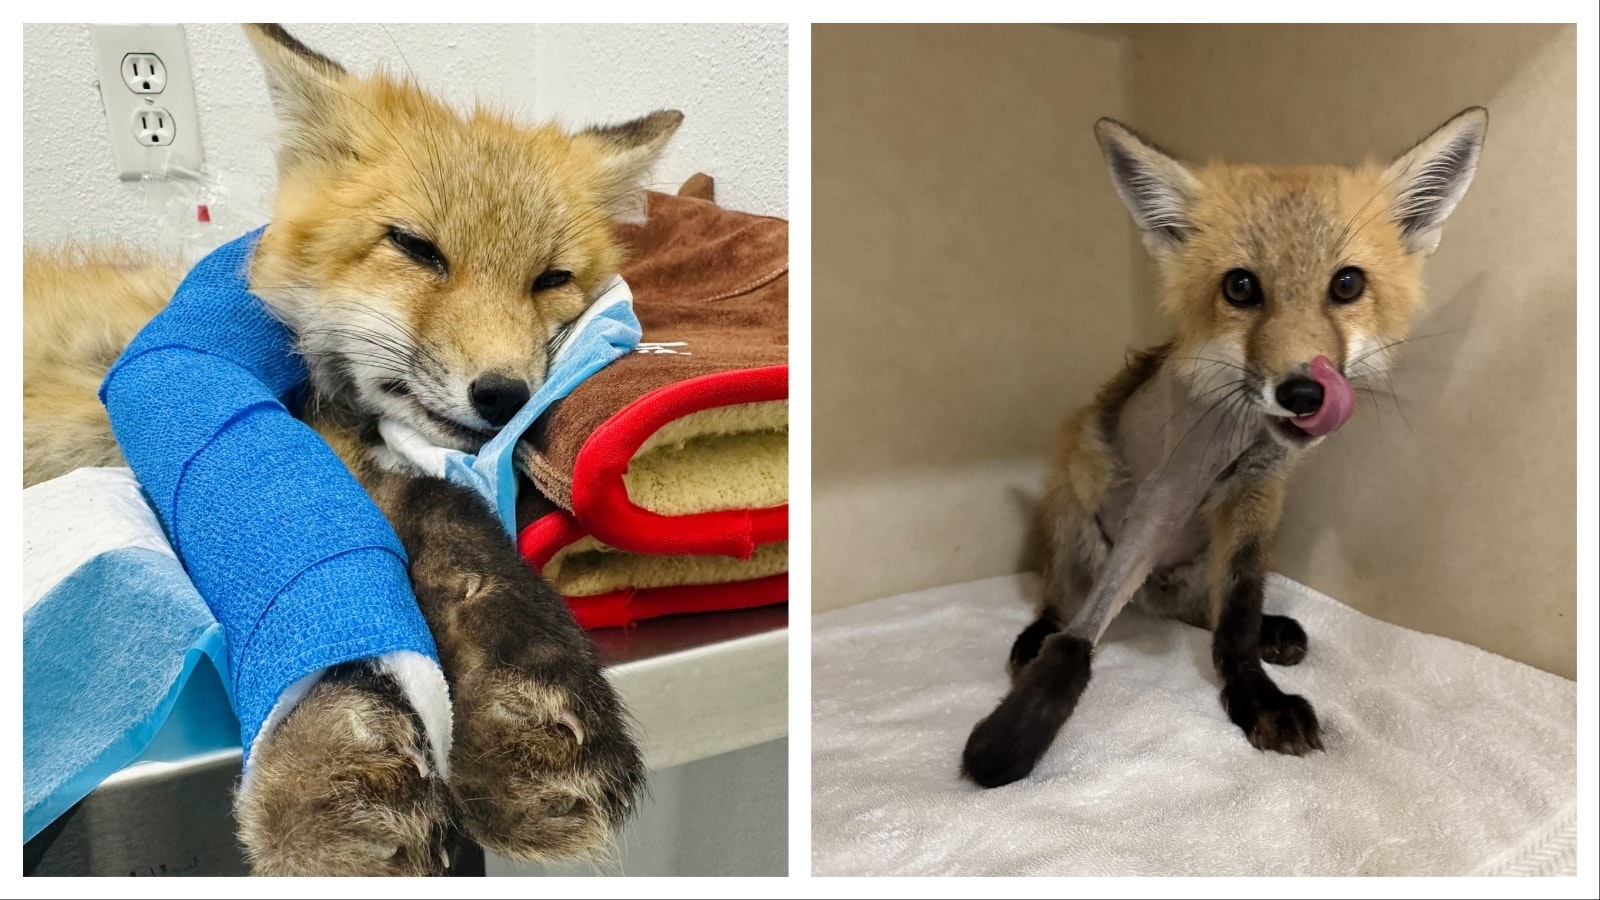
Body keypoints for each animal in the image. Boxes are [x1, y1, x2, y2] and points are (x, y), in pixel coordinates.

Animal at [23, 25, 684, 874]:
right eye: (416, 248)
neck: (324, 400)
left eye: (551, 278)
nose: (503, 395)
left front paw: (530, 695)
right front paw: (341, 756)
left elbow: (451, 511)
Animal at [961, 108, 1488, 788]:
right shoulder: (1168, 489)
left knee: (1204, 607)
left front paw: (1254, 694)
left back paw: (1268, 630)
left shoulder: (1256, 495)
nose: (1303, 393)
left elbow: (1235, 613)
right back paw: (1036, 635)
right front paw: (1012, 737)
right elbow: (1082, 631)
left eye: (1347, 284)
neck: (1242, 437)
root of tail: (1159, 593)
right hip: (1071, 513)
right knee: (1063, 598)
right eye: (1240, 287)